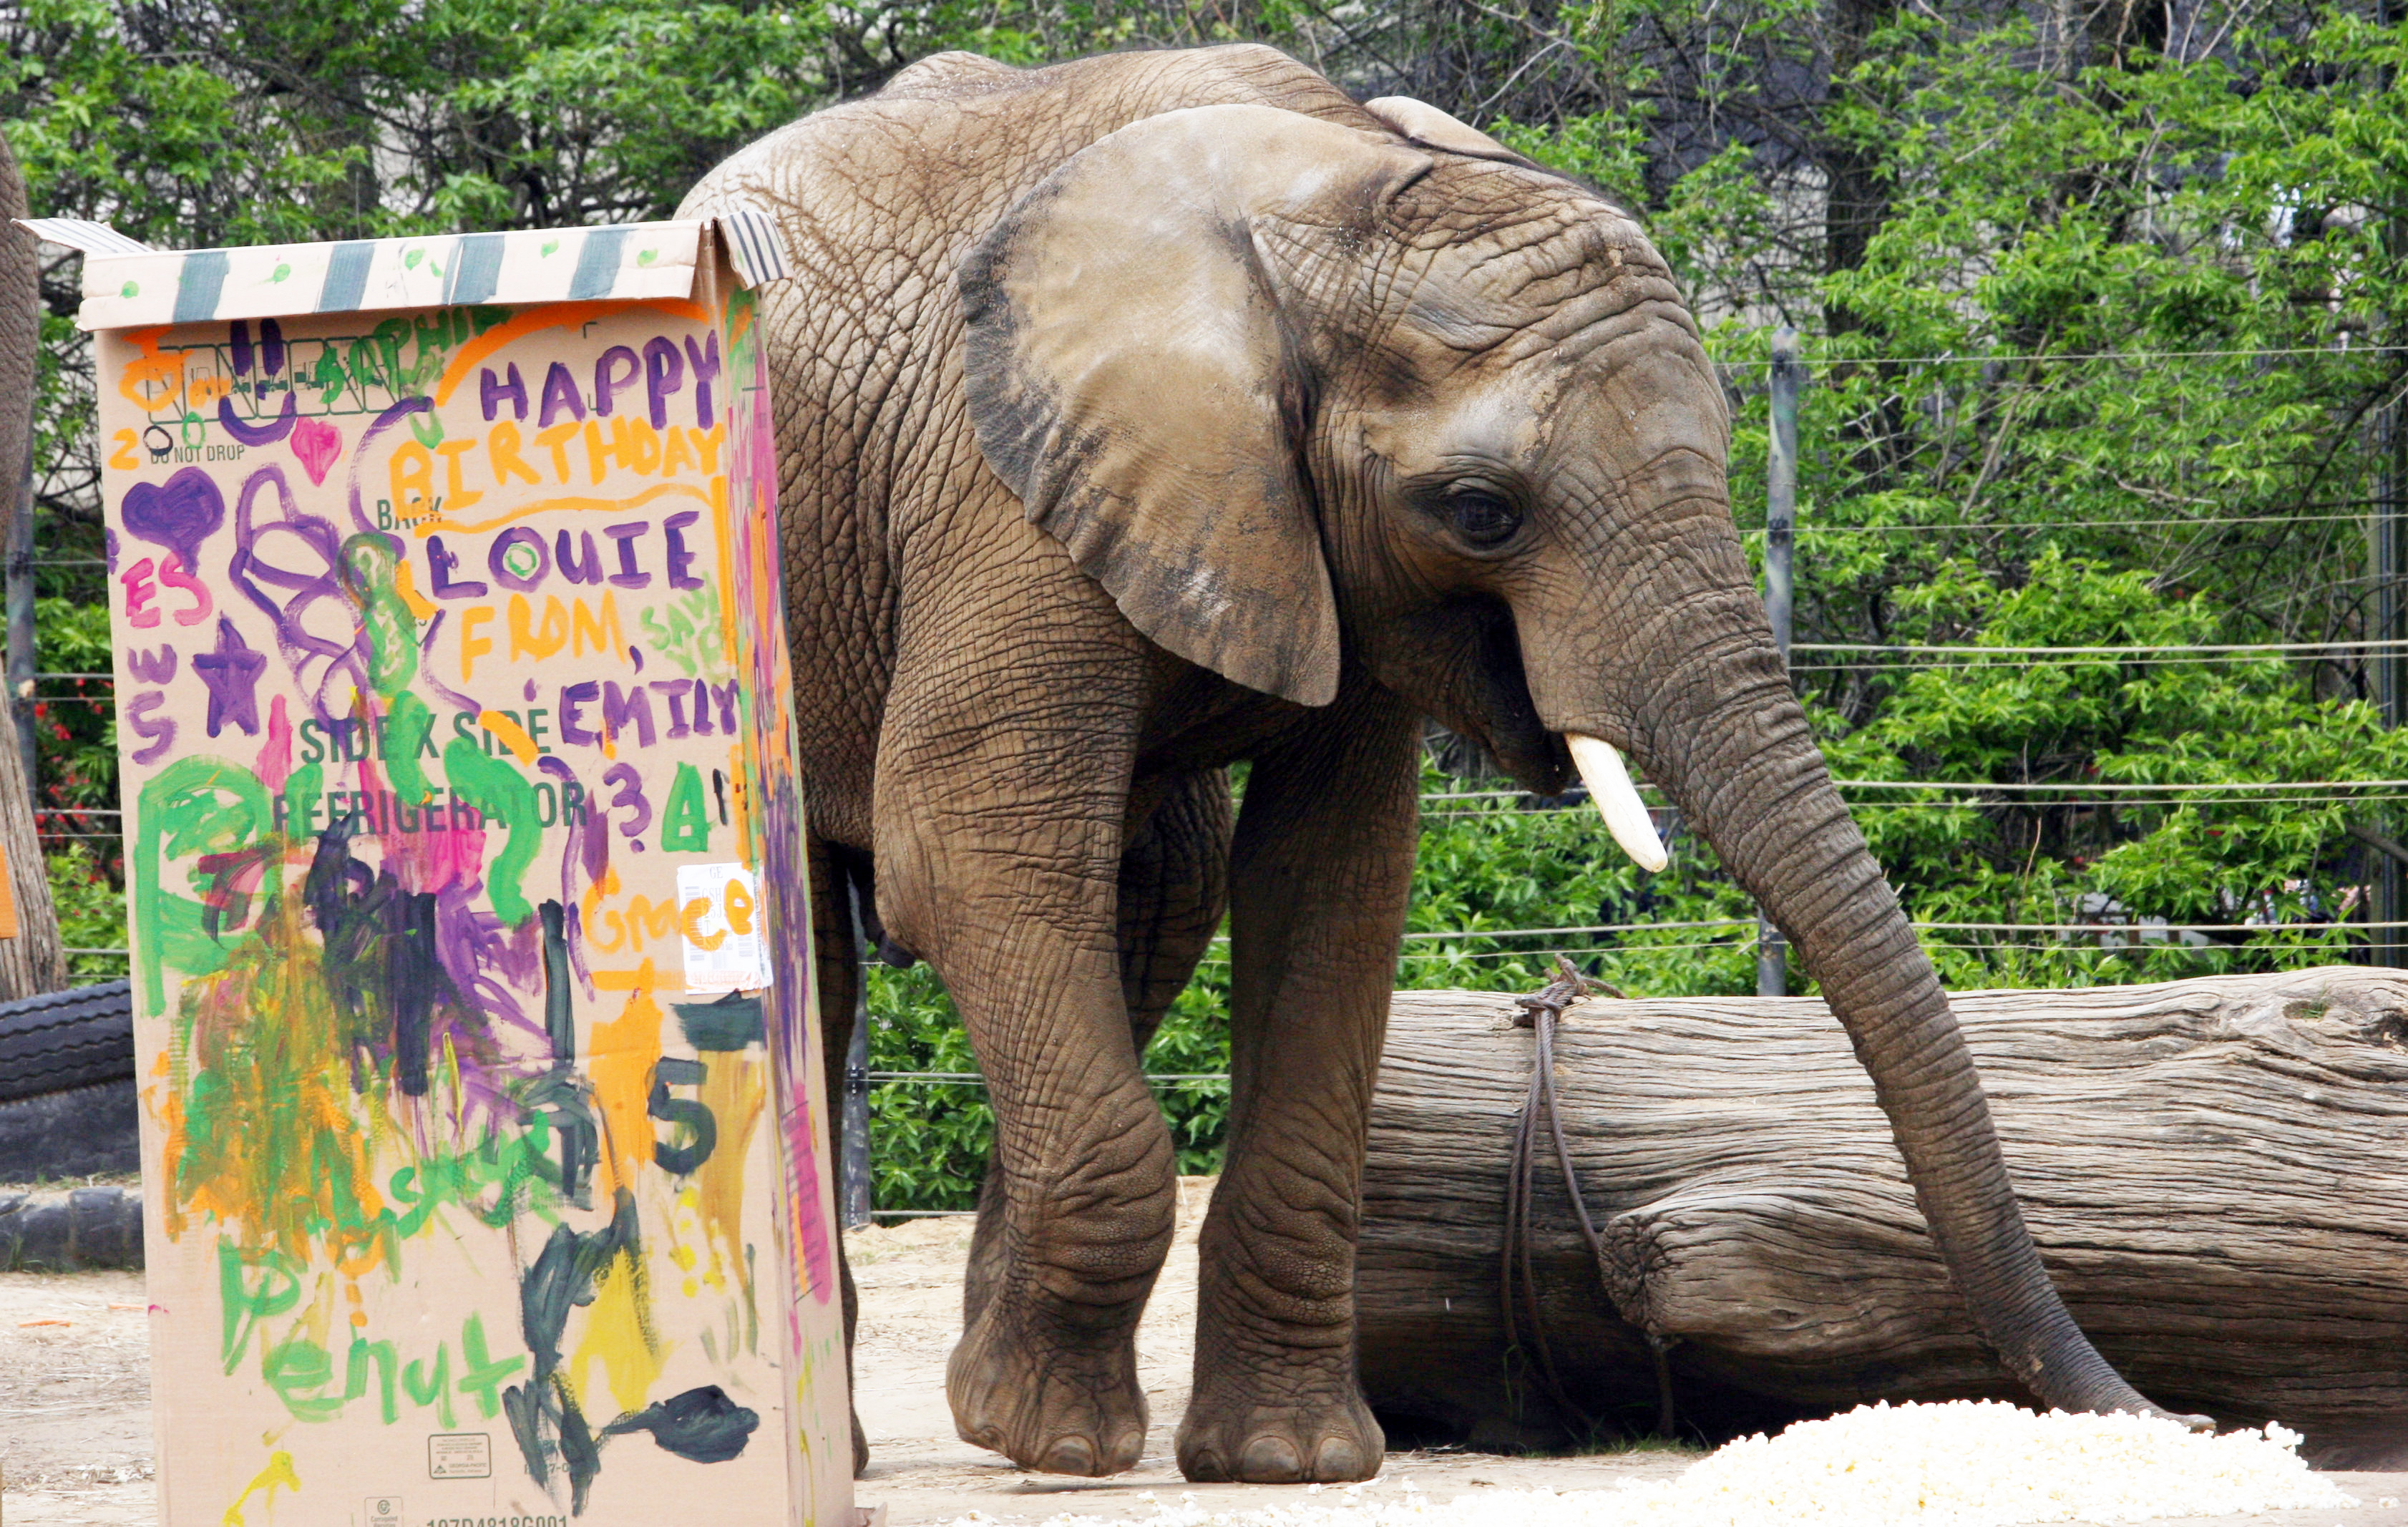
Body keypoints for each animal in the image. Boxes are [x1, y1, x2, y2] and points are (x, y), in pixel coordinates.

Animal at [679, 43, 2187, 1485]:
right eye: (1480, 511)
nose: (2159, 1416)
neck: (1337, 204)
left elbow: (1334, 885)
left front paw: (1288, 1458)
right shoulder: (1004, 494)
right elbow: (967, 851)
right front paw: (1044, 1436)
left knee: (1162, 885)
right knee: (833, 926)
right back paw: (853, 1437)